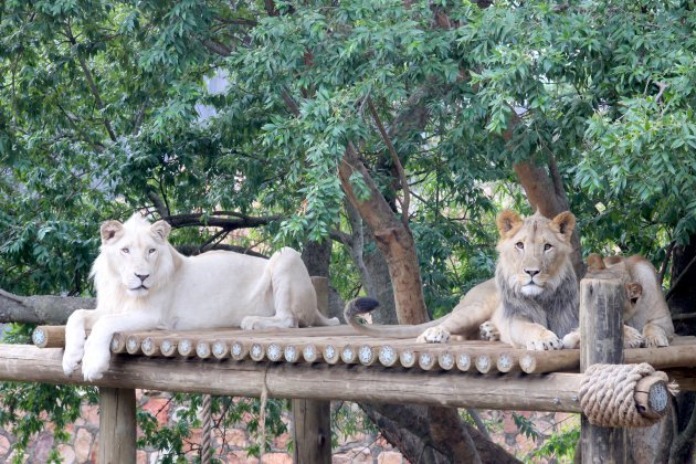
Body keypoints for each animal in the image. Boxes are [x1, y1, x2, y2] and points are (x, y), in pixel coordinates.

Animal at [62, 214, 340, 380]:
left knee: (289, 320)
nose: (142, 276)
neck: (122, 288)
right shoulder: (111, 305)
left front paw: (92, 365)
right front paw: (70, 358)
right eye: (125, 250)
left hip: (286, 255)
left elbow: (104, 324)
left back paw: (252, 321)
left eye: (151, 251)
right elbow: (76, 315)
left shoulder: (154, 316)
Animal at [346, 209, 580, 348]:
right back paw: (434, 334)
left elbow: (579, 332)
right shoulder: (516, 319)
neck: (543, 298)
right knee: (448, 330)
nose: (531, 272)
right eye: (520, 245)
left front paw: (572, 338)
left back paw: (489, 332)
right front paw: (547, 339)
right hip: (473, 310)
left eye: (547, 247)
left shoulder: (572, 317)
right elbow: (531, 328)